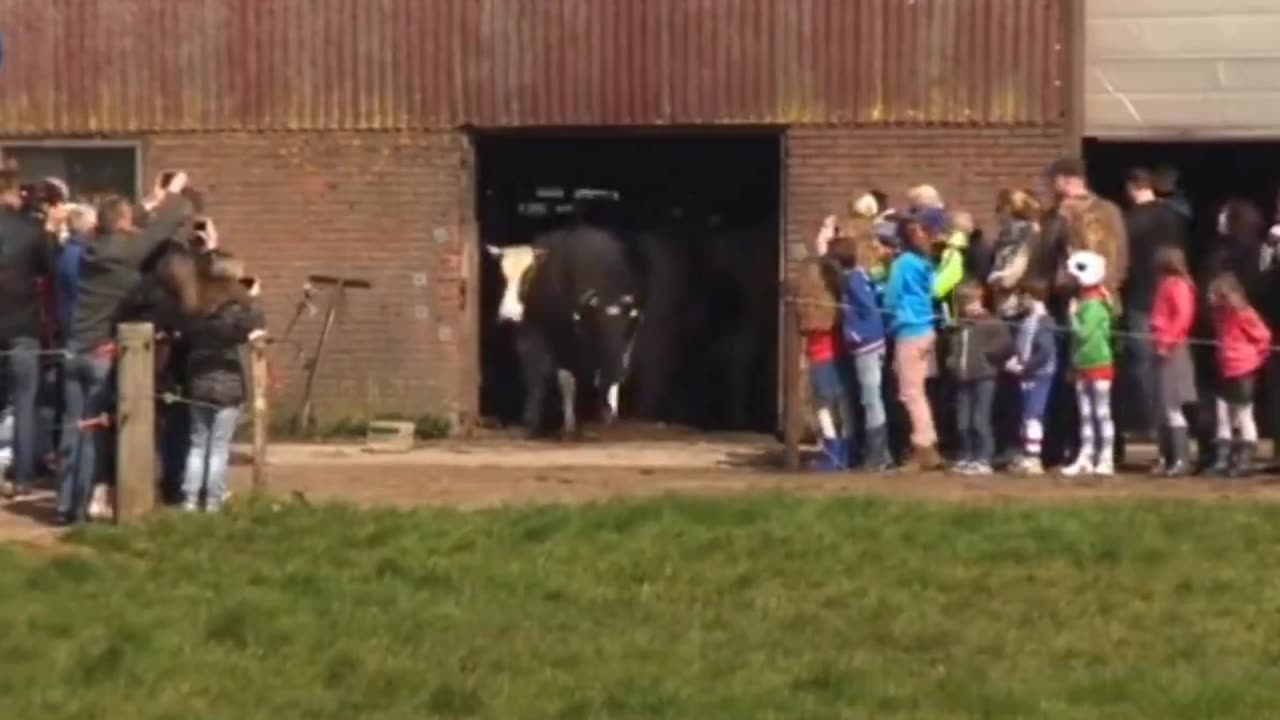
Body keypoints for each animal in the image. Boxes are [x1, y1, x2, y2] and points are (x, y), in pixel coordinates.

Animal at [483, 224, 640, 438]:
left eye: (529, 274)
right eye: (502, 276)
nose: (508, 315)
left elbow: (607, 374)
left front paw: (608, 413)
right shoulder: (544, 335)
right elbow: (554, 377)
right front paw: (562, 425)